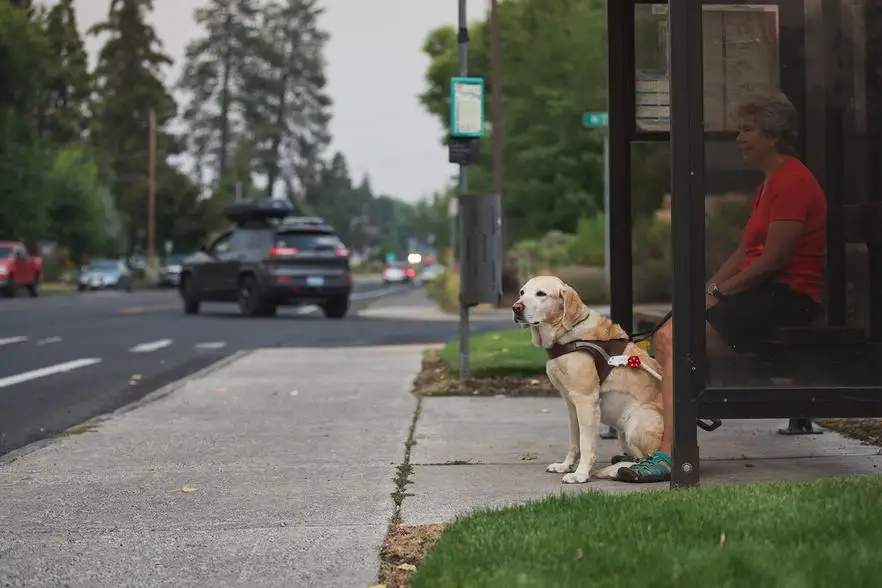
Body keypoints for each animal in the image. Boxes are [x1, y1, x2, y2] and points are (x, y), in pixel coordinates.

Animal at [508, 276, 660, 482]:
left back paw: (616, 470)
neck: (566, 334)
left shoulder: (586, 400)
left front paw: (580, 474)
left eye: (541, 294)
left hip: (638, 421)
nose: (516, 307)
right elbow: (575, 440)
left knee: (647, 458)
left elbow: (586, 442)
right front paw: (566, 465)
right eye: (522, 292)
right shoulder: (571, 404)